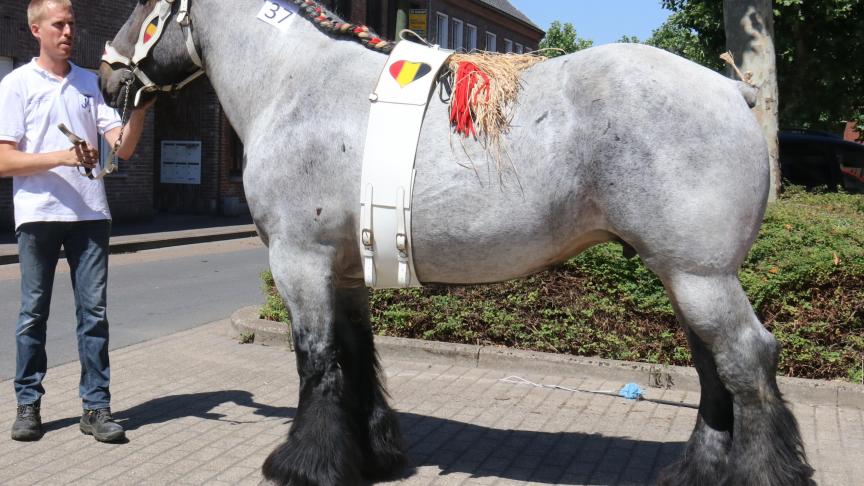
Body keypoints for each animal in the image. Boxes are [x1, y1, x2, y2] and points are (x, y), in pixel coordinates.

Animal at [98, 0, 812, 486]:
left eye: (143, 3)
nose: (106, 75)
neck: (295, 87)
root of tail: (734, 87)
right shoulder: (344, 268)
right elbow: (357, 358)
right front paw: (374, 454)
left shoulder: (299, 261)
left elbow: (317, 361)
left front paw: (304, 463)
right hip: (685, 277)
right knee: (714, 369)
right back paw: (697, 472)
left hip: (700, 276)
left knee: (747, 360)